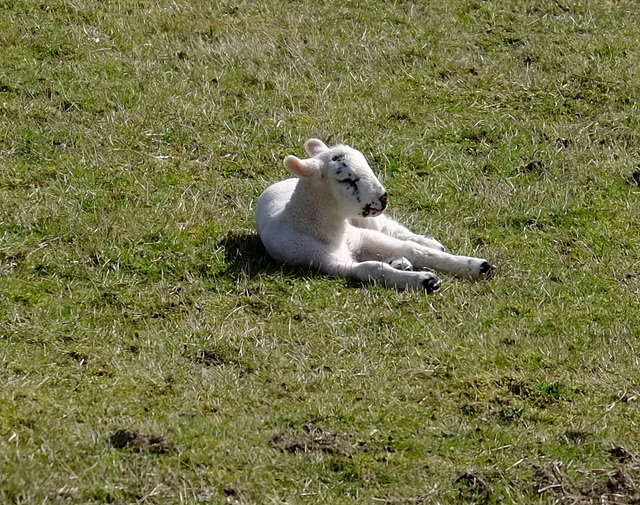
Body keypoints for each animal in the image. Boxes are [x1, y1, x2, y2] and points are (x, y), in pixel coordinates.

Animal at [255, 140, 490, 294]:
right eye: (346, 179)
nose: (383, 198)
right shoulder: (324, 260)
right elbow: (370, 268)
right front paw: (425, 280)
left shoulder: (362, 236)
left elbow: (415, 250)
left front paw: (477, 265)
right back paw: (401, 264)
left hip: (371, 221)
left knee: (396, 230)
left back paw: (429, 243)